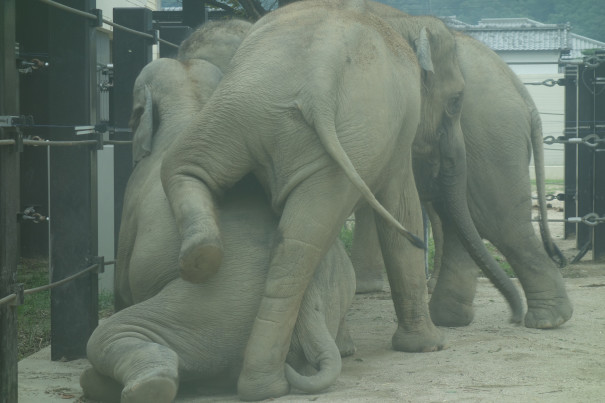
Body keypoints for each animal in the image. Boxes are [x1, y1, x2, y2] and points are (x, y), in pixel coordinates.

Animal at [159, 0, 520, 400]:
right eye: (456, 102)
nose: (515, 316)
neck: (401, 18)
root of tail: (317, 80)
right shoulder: (399, 130)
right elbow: (403, 209)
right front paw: (429, 346)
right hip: (343, 136)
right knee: (304, 239)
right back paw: (268, 381)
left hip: (243, 108)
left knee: (191, 171)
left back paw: (202, 261)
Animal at [350, 6, 572, 328]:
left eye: (456, 102)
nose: (512, 315)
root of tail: (522, 93)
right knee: (461, 214)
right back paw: (453, 317)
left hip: (490, 138)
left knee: (495, 218)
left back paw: (547, 319)